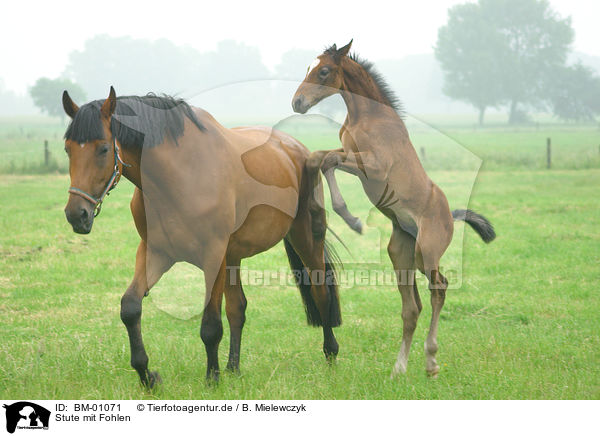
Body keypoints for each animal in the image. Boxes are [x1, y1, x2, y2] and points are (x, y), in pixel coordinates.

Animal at [292, 41, 496, 376]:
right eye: (308, 67)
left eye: (324, 71)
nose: (297, 103)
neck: (368, 117)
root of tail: (451, 217)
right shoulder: (349, 153)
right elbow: (320, 158)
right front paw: (346, 216)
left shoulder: (373, 166)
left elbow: (327, 160)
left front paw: (352, 220)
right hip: (401, 254)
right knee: (412, 307)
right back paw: (399, 368)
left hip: (427, 251)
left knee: (440, 288)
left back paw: (431, 361)